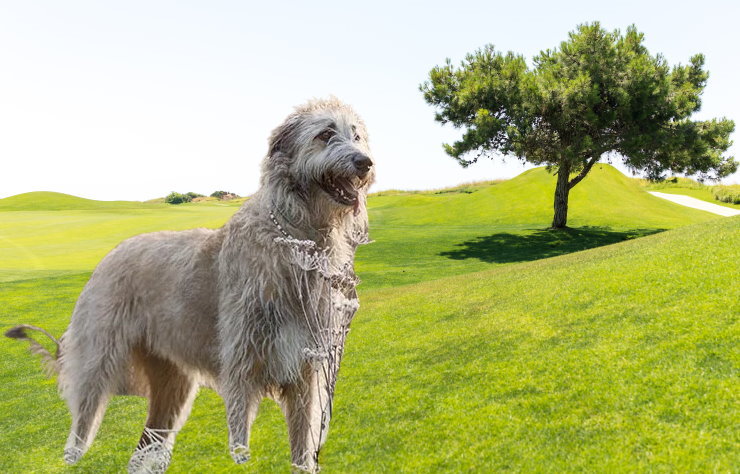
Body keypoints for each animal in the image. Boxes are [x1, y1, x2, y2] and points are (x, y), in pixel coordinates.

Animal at [5, 97, 372, 474]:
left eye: (357, 136)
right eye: (325, 134)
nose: (365, 163)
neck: (296, 236)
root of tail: (110, 255)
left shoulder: (306, 370)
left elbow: (303, 443)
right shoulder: (241, 364)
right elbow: (240, 441)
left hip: (171, 384)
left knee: (145, 445)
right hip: (98, 362)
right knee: (81, 429)